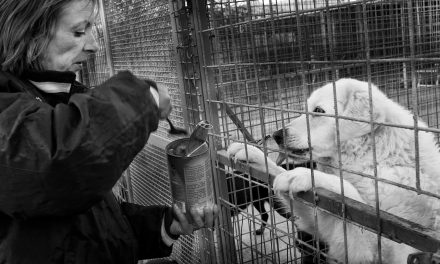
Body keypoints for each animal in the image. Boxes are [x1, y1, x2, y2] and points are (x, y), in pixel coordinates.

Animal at [229, 79, 440, 264]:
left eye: (318, 111)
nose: (276, 135)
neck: (379, 158)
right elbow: (276, 169)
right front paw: (253, 153)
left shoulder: (390, 246)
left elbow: (347, 190)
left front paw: (305, 175)